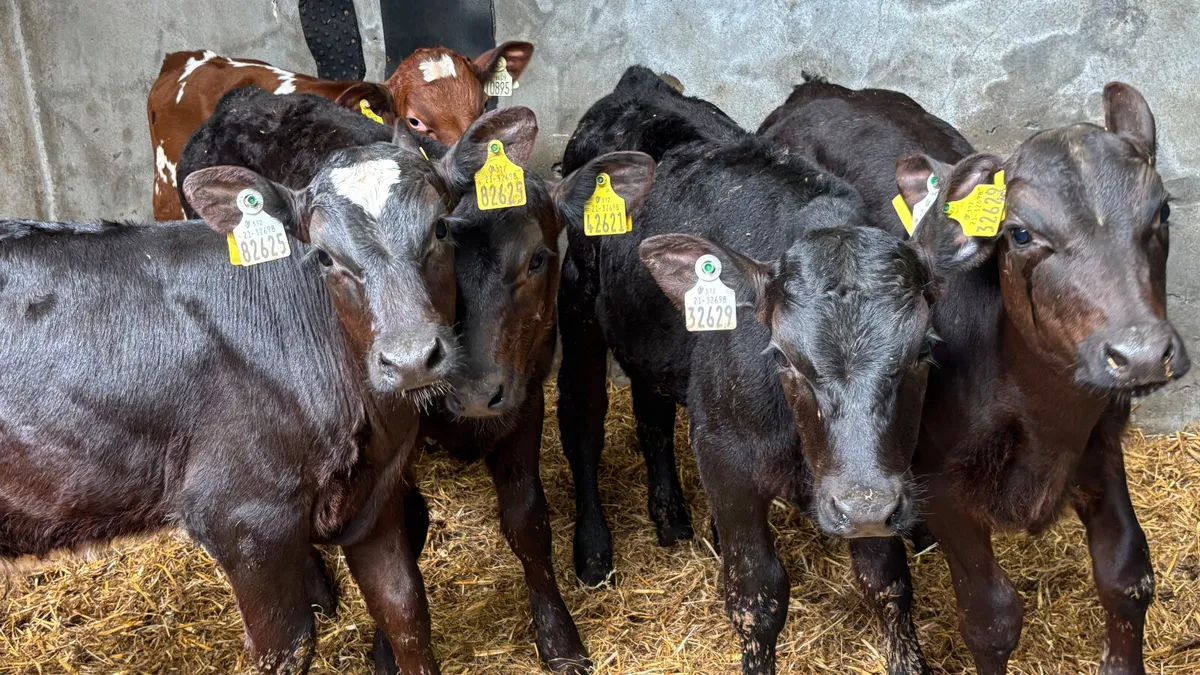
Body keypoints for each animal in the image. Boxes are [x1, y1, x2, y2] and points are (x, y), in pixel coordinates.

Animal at [0, 114, 535, 672]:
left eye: (441, 228)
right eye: (323, 257)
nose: (409, 358)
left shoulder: (375, 496)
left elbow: (406, 612)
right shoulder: (243, 519)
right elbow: (285, 648)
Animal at [173, 91, 656, 673]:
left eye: (537, 259)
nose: (473, 392)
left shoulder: (524, 399)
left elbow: (528, 522)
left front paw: (559, 636)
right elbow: (410, 525)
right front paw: (385, 650)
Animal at [557, 66, 972, 674]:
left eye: (923, 350)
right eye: (781, 356)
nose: (863, 504)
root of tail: (639, 84)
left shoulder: (872, 481)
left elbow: (886, 582)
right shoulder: (726, 457)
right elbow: (757, 597)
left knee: (652, 411)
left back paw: (672, 516)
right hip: (578, 307)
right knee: (582, 424)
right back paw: (593, 551)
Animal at [758, 77, 1189, 674]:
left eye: (1162, 212)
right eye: (1021, 234)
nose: (1143, 353)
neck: (1042, 417)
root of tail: (815, 87)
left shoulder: (1101, 445)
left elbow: (1127, 575)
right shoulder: (940, 482)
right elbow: (990, 617)